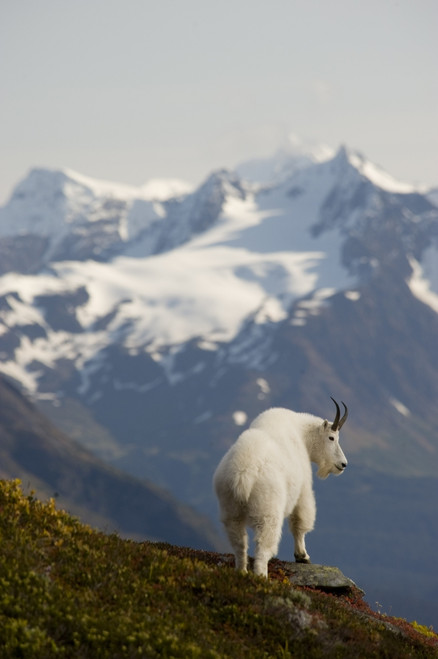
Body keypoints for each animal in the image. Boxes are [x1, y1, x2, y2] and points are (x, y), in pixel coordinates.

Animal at [213, 398, 348, 577]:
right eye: (332, 438)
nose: (343, 464)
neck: (301, 434)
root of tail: (243, 475)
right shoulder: (303, 489)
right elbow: (299, 523)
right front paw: (302, 556)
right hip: (268, 510)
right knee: (263, 546)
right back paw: (262, 576)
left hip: (230, 509)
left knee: (239, 543)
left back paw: (242, 572)